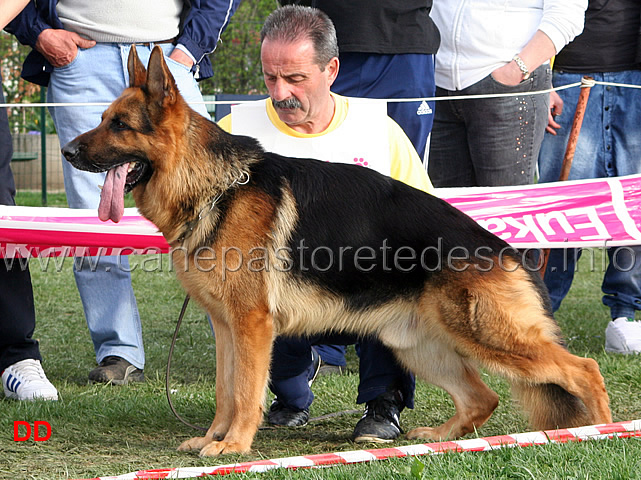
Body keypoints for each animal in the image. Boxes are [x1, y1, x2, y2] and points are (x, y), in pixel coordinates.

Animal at [63, 47, 608, 456]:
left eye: (119, 125)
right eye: (104, 119)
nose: (67, 152)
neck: (215, 186)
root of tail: (503, 249)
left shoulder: (251, 325)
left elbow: (244, 392)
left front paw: (234, 446)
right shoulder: (225, 327)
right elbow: (224, 391)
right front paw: (211, 439)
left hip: (486, 335)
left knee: (583, 369)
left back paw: (599, 432)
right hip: (420, 346)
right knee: (483, 398)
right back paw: (438, 438)